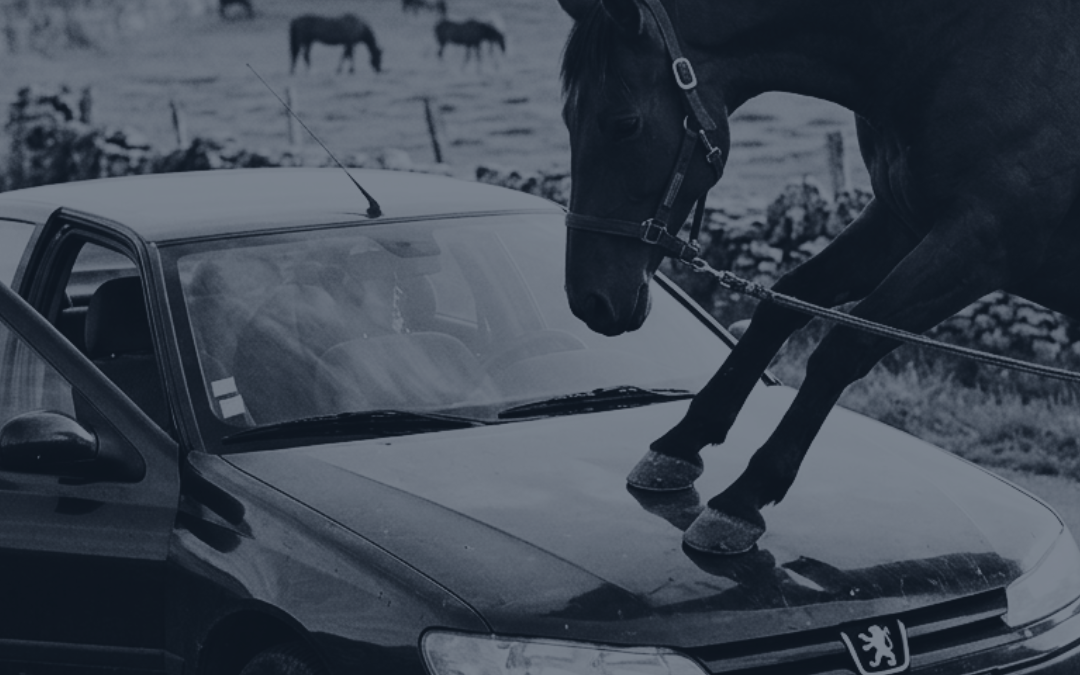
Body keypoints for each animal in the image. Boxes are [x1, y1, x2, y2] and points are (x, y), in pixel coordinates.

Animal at [557, 0, 1080, 555]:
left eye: (624, 124)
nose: (589, 300)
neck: (968, 45)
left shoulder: (980, 244)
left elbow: (843, 347)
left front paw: (744, 496)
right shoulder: (898, 221)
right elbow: (782, 304)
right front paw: (682, 442)